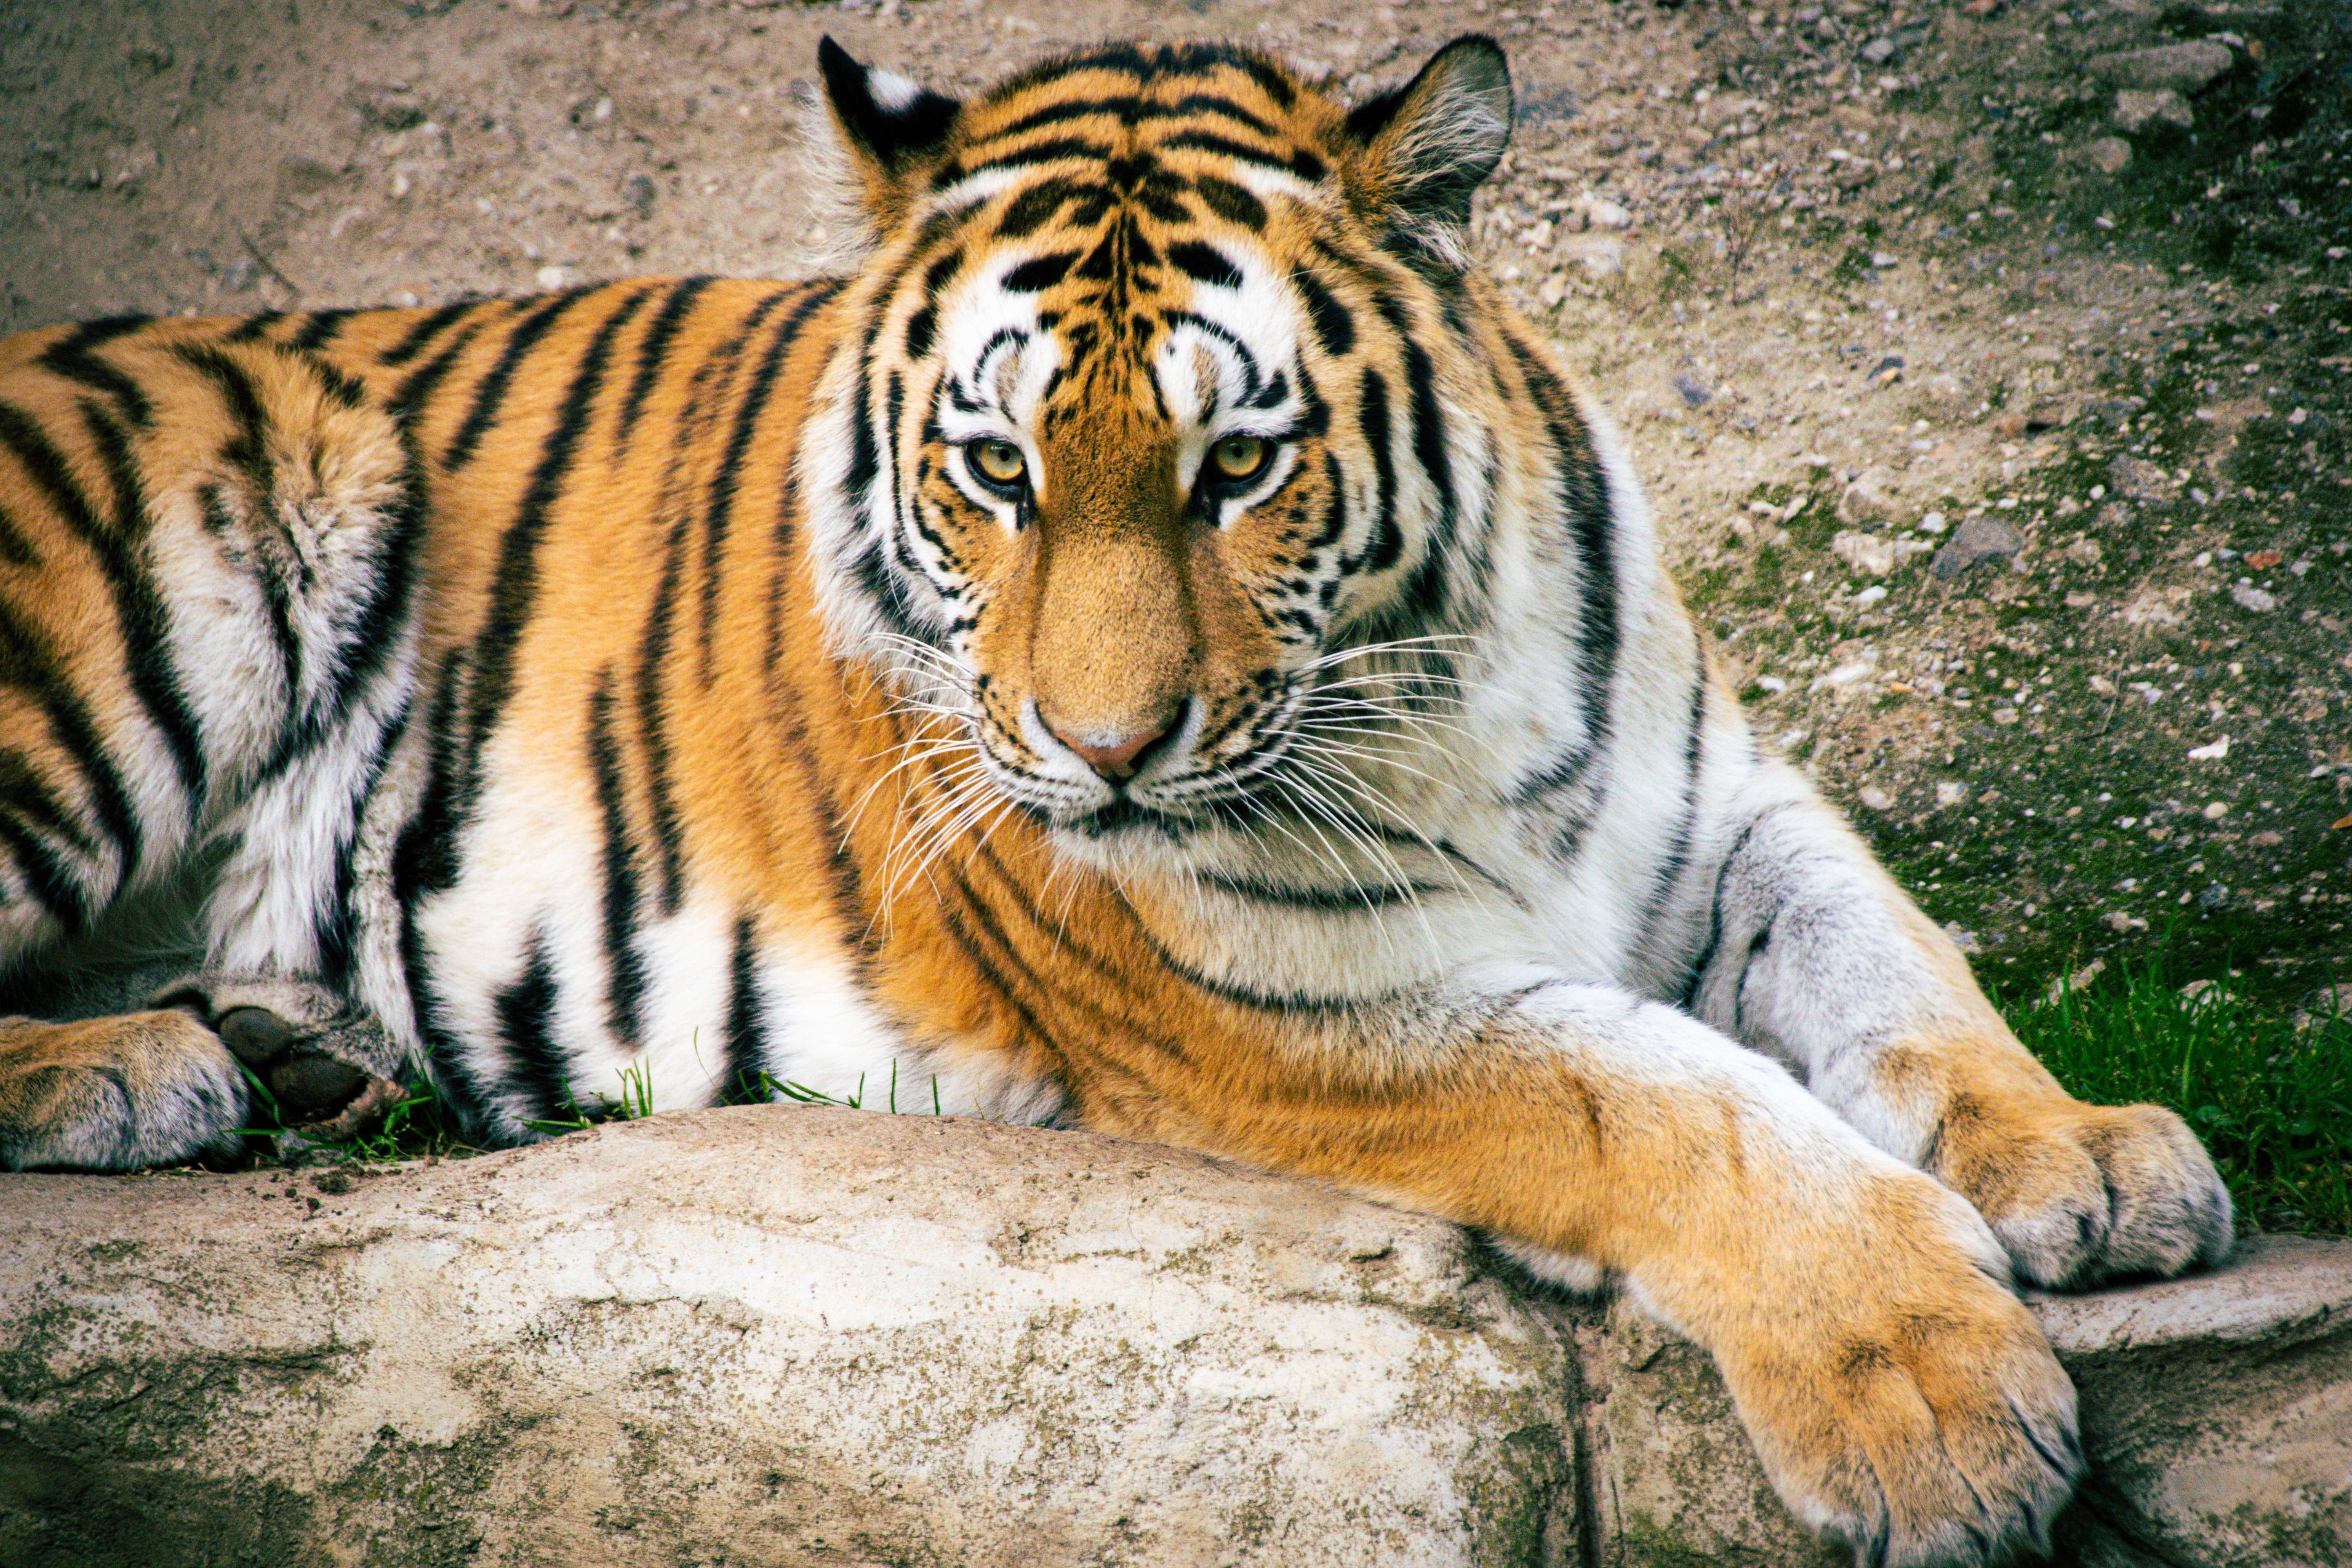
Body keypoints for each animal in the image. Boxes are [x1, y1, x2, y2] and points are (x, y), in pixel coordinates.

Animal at [0, 32, 2231, 1567]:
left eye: (1235, 467)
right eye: (996, 471)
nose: (1101, 750)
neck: (1442, 681)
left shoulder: (1719, 808)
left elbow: (1899, 968)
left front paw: (2089, 1159)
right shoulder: (1292, 1004)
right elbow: (1668, 1101)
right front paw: (1935, 1402)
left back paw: (289, 1045)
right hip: (172, 557)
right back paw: (146, 1070)